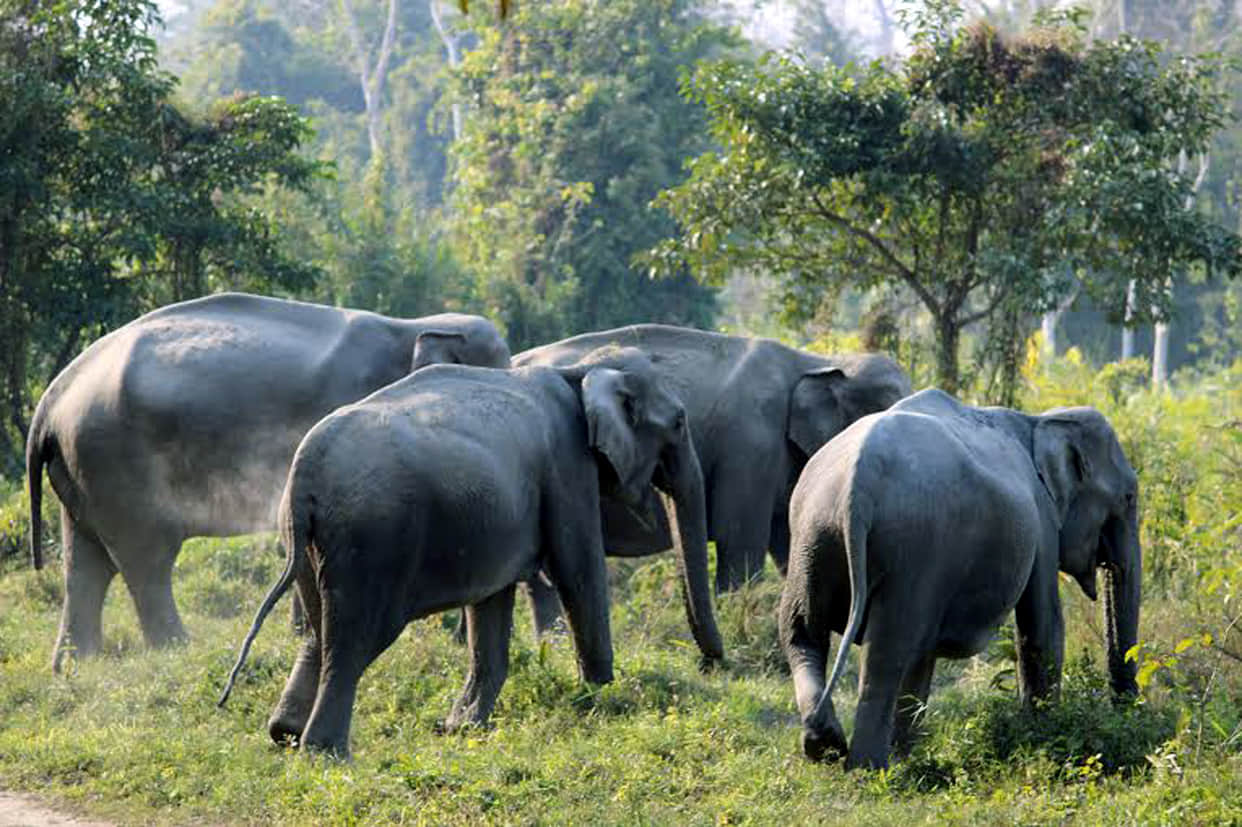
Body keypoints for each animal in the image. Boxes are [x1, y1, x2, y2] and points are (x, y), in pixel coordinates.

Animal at [25, 292, 510, 671]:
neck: (413, 326)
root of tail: (51, 399)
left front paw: (302, 629)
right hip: (116, 461)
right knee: (145, 559)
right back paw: (178, 650)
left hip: (81, 468)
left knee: (85, 561)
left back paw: (74, 665)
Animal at [217, 346, 722, 756]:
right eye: (679, 422)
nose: (714, 665)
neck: (578, 372)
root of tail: (306, 468)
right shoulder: (566, 468)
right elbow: (577, 568)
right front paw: (599, 695)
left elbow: (493, 602)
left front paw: (459, 729)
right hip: (372, 541)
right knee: (354, 639)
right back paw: (326, 752)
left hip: (307, 541)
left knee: (319, 630)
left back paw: (285, 734)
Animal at [780, 388, 1142, 770]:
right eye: (1129, 497)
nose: (1126, 711)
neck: (1038, 421)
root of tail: (858, 486)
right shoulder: (1040, 519)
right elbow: (1043, 627)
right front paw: (1042, 734)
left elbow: (924, 656)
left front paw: (905, 751)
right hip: (913, 550)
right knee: (886, 651)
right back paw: (868, 767)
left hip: (812, 536)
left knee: (801, 631)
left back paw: (825, 744)